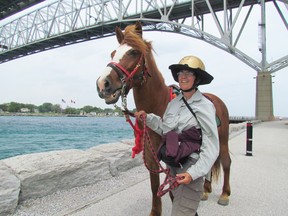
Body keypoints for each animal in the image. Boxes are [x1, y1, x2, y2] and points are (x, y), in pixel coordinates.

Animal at [95, 20, 231, 216]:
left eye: (133, 52)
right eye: (113, 53)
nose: (102, 84)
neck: (159, 105)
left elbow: (174, 185)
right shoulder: (151, 155)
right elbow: (155, 186)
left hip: (222, 139)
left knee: (226, 162)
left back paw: (225, 194)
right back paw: (205, 190)